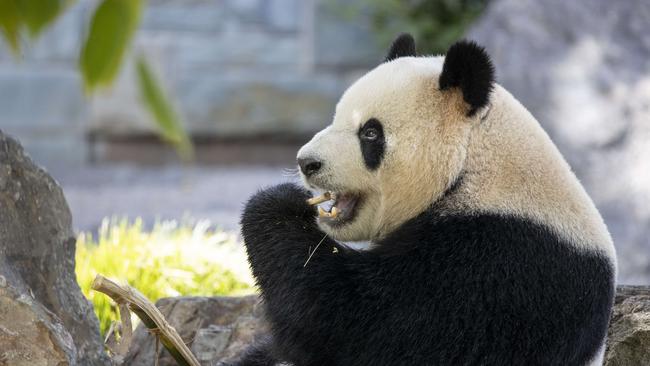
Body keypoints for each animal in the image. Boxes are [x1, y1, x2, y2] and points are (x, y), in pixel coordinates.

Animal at [230, 34, 616, 366]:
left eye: (370, 133)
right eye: (336, 118)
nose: (307, 163)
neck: (473, 165)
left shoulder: (499, 265)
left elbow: (360, 326)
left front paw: (276, 204)